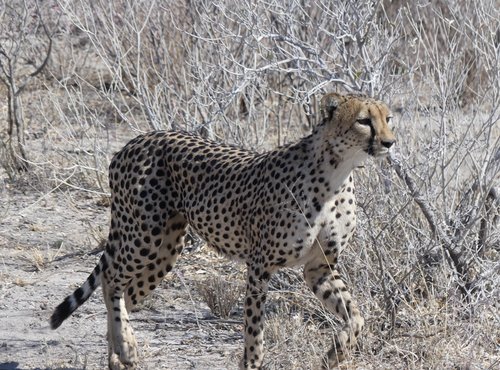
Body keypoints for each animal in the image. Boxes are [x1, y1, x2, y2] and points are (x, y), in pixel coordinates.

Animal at [50, 93, 394, 370]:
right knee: (111, 281)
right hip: (145, 234)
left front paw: (335, 354)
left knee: (127, 294)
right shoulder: (260, 264)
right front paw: (253, 363)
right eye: (364, 121)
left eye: (388, 119)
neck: (338, 172)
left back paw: (119, 355)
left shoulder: (318, 267)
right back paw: (126, 348)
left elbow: (356, 316)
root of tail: (134, 141)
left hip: (166, 248)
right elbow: (254, 329)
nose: (390, 142)